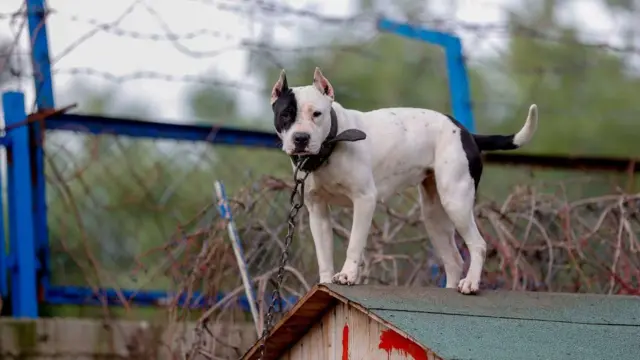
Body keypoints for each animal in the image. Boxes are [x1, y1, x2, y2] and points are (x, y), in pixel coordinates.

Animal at [268, 68, 536, 296]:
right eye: (285, 115)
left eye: (317, 114)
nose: (301, 138)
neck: (331, 144)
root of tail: (465, 131)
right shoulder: (318, 211)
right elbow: (323, 253)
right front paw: (324, 283)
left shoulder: (364, 200)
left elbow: (354, 243)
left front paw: (347, 275)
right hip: (434, 215)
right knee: (453, 260)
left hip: (456, 201)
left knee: (478, 244)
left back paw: (470, 283)